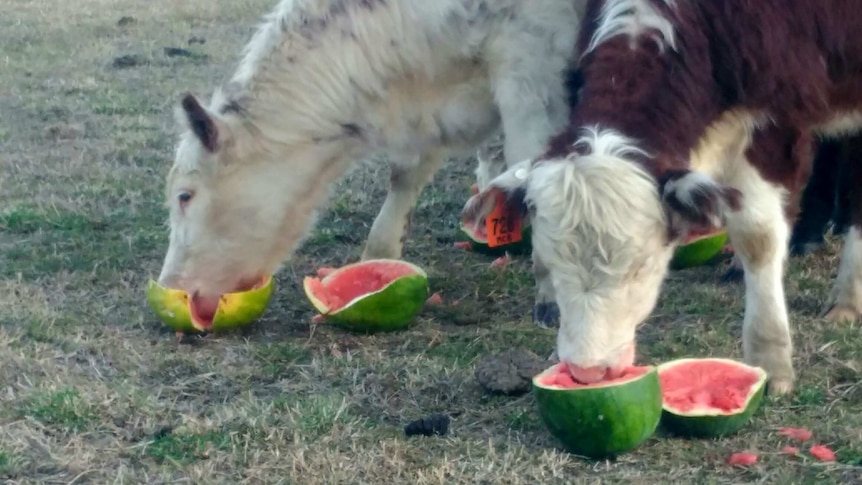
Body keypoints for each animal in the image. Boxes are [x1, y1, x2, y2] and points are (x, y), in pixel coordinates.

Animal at [154, 0, 588, 328]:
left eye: (184, 196)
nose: (171, 287)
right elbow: (405, 177)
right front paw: (378, 256)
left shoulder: (531, 68)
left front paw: (551, 293)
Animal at [466, 0, 862, 394]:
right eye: (548, 263)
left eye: (641, 267)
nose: (587, 372)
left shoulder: (775, 125)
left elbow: (758, 239)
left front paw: (769, 360)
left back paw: (845, 297)